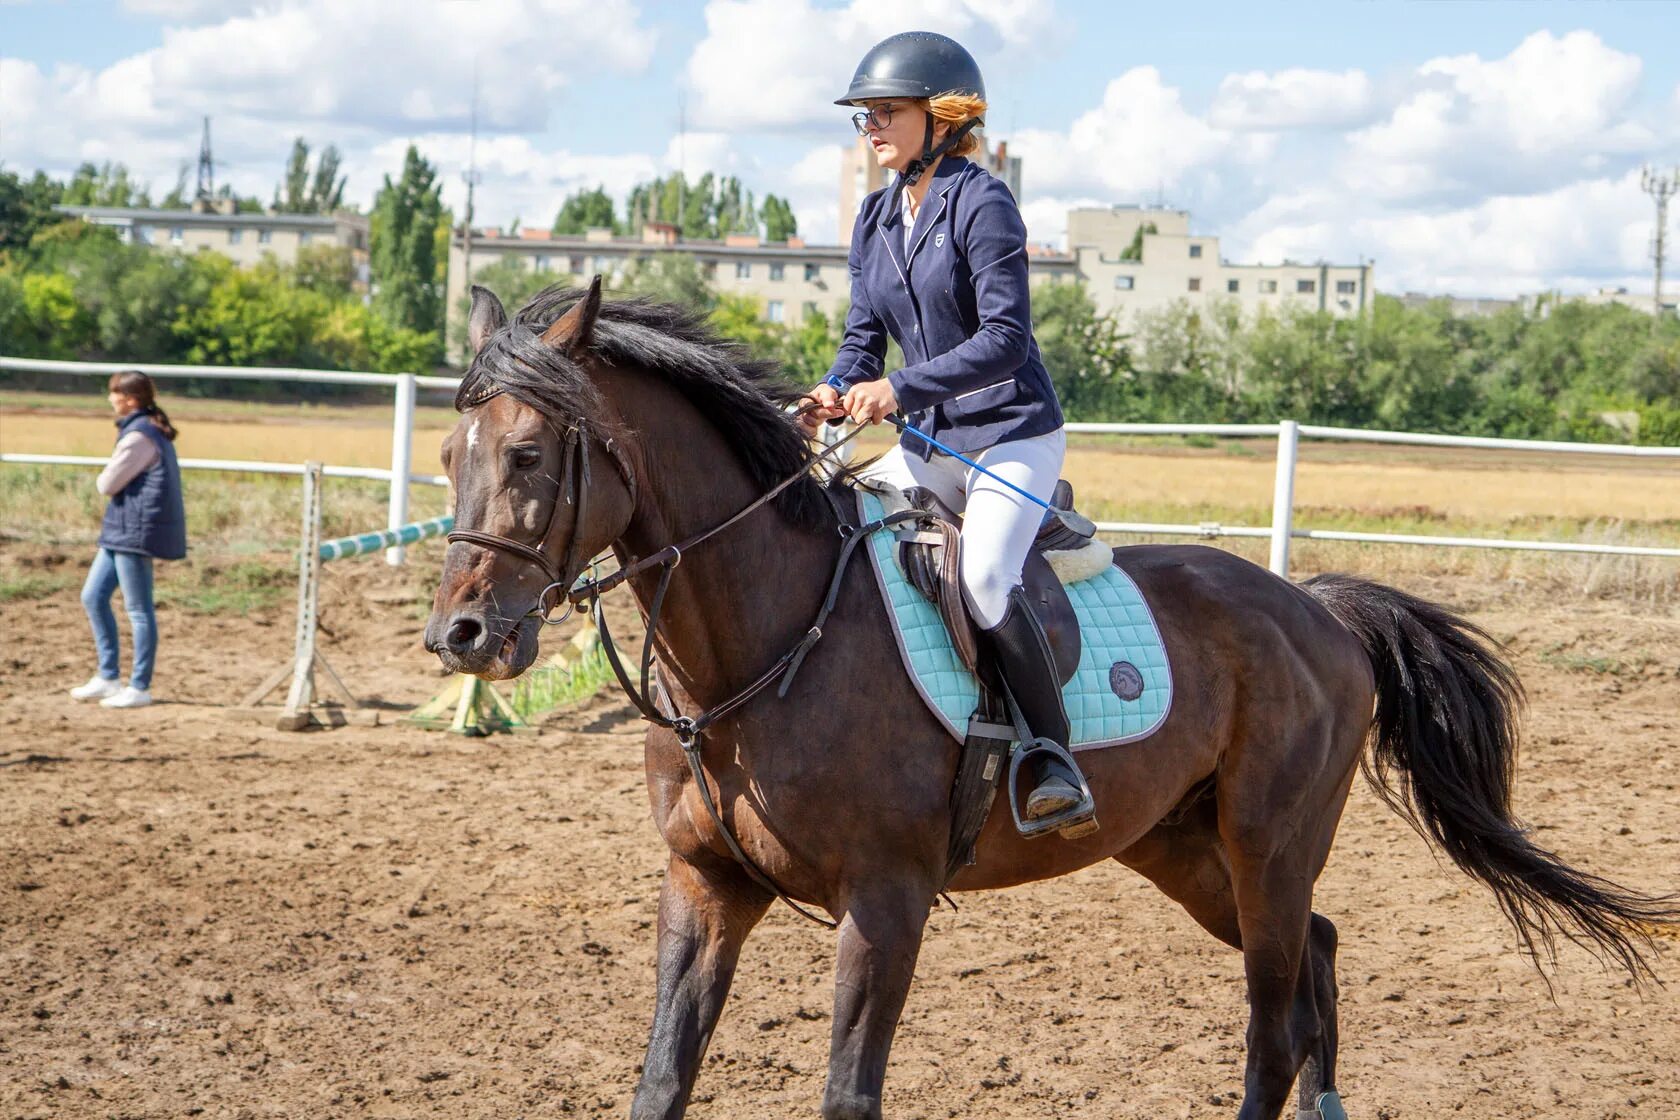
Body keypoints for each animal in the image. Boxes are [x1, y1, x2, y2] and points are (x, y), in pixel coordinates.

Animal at [430, 285, 1666, 1120]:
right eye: (448, 454)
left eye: (530, 453)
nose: (460, 636)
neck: (760, 651)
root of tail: (1313, 608)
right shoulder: (705, 887)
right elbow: (661, 1081)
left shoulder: (886, 904)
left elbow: (849, 1091)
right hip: (1183, 851)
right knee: (1313, 957)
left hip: (1267, 848)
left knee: (1273, 1020)